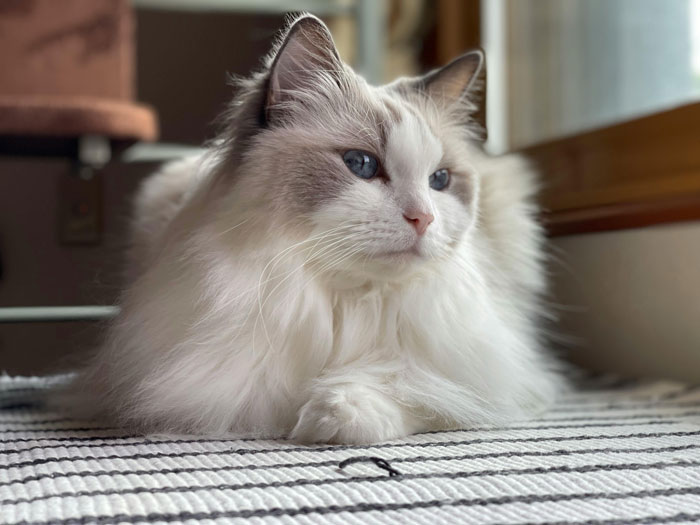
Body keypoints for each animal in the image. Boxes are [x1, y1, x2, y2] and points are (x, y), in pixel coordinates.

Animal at [65, 14, 568, 442]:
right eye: (361, 165)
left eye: (439, 180)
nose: (423, 218)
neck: (345, 301)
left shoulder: (482, 370)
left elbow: (410, 384)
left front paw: (338, 416)